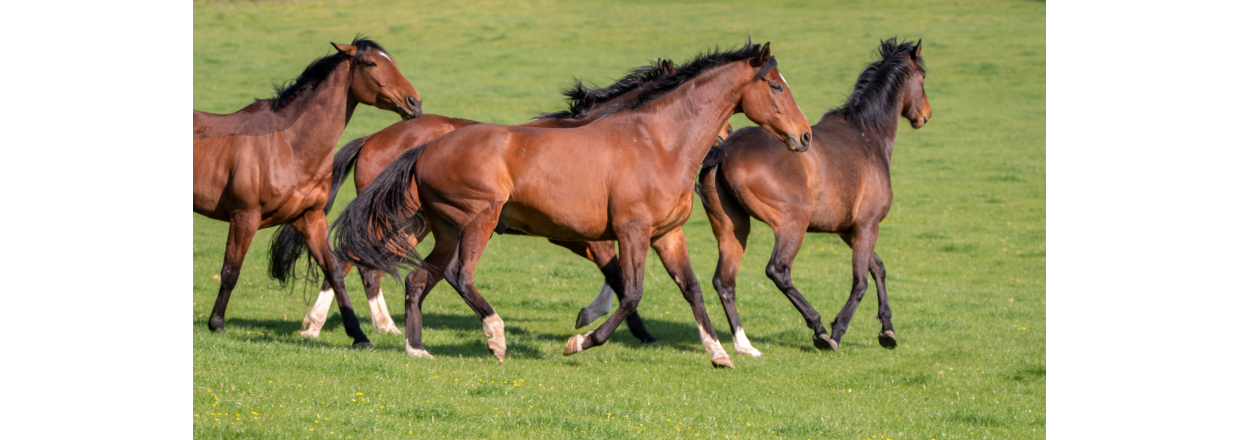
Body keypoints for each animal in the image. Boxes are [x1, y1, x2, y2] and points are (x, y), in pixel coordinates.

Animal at [193, 37, 422, 348]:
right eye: (371, 63)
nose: (415, 102)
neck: (288, 145)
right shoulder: (244, 217)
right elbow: (230, 271)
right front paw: (216, 324)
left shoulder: (309, 218)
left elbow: (334, 272)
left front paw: (358, 336)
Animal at [280, 60, 731, 344]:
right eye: (724, 123)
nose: (718, 155)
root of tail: (374, 138)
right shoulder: (587, 235)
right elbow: (621, 279)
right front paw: (621, 330)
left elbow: (618, 276)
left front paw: (594, 320)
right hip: (404, 222)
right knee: (353, 259)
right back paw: (336, 325)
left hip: (420, 225)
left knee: (361, 261)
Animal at [334, 41, 813, 368]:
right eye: (775, 86)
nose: (804, 136)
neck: (658, 142)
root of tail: (425, 148)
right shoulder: (629, 232)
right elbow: (630, 292)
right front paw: (581, 340)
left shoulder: (666, 234)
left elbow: (691, 289)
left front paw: (719, 353)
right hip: (473, 221)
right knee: (452, 274)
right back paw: (493, 337)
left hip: (444, 228)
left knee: (418, 278)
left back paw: (415, 348)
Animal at [695, 38, 931, 355]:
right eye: (923, 76)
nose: (926, 114)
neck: (868, 135)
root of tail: (725, 149)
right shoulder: (868, 226)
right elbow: (861, 282)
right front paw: (837, 331)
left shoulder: (850, 230)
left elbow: (878, 268)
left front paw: (887, 329)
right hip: (793, 222)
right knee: (778, 270)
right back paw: (818, 329)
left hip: (732, 228)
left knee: (724, 281)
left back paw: (743, 344)